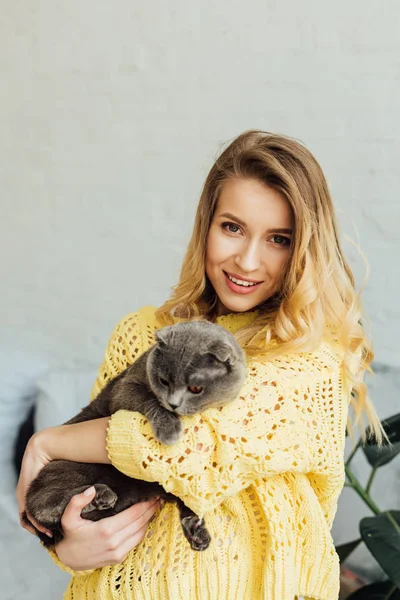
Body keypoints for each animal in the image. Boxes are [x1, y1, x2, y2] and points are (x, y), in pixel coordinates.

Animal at [23, 322, 247, 552]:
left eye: (195, 388)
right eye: (163, 381)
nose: (173, 403)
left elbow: (186, 496)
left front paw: (196, 531)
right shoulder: (124, 389)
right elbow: (151, 401)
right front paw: (170, 430)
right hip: (70, 468)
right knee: (42, 505)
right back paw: (100, 494)